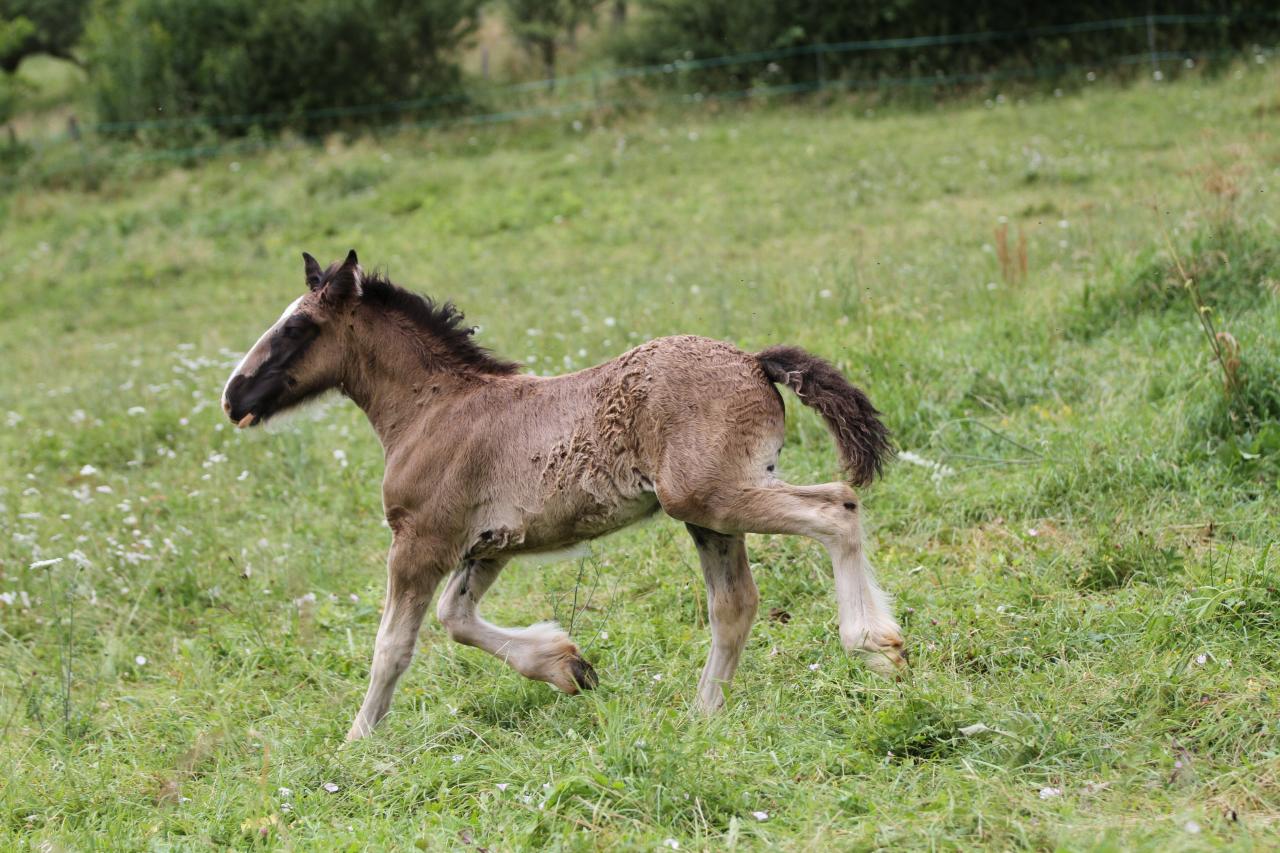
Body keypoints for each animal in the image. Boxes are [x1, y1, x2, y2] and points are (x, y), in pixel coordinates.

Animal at [222, 247, 901, 737]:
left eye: (297, 327)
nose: (233, 397)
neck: (433, 410)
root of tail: (754, 362)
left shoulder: (421, 542)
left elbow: (393, 645)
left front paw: (357, 741)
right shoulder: (487, 547)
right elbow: (455, 619)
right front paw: (568, 666)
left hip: (712, 497)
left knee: (837, 507)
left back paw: (876, 646)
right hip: (710, 513)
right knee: (734, 604)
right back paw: (703, 716)